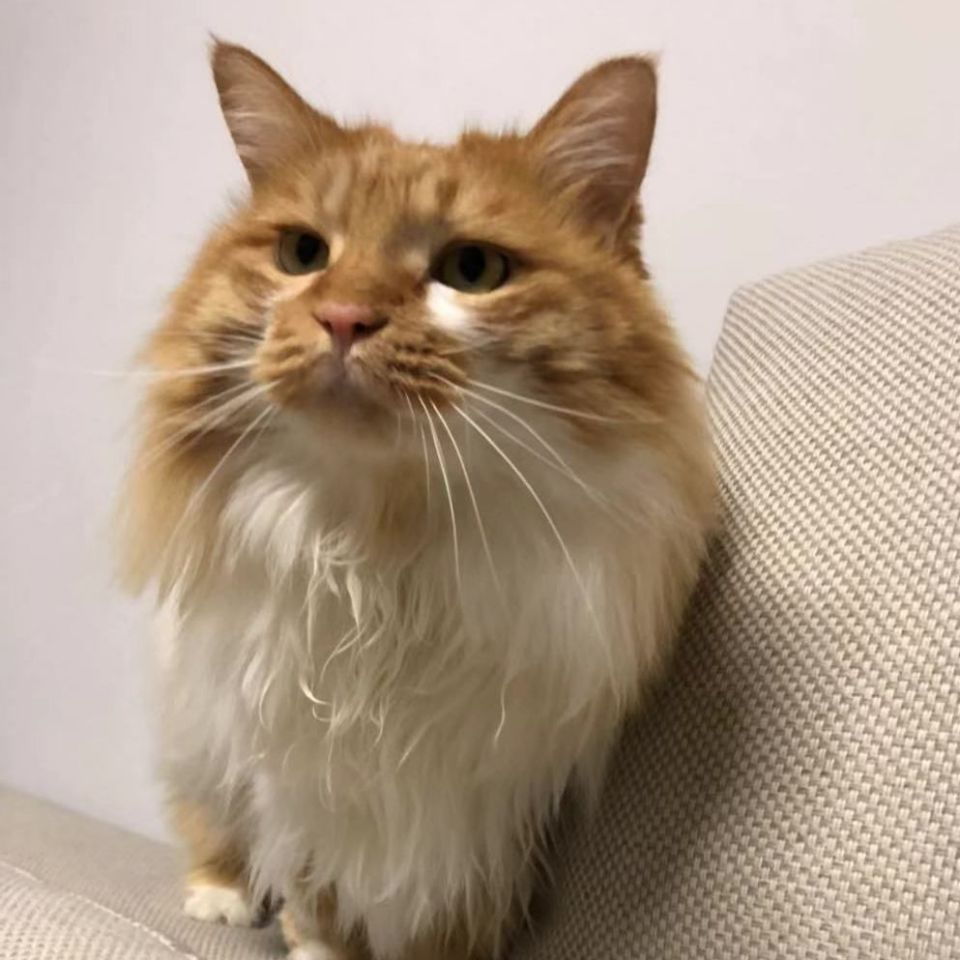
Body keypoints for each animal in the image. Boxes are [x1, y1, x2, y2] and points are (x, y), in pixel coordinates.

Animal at [119, 40, 715, 960]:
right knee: (210, 820)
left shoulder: (490, 810)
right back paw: (223, 896)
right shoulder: (300, 770)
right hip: (201, 729)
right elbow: (318, 887)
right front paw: (313, 940)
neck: (384, 545)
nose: (342, 317)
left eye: (472, 270)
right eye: (302, 255)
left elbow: (451, 917)